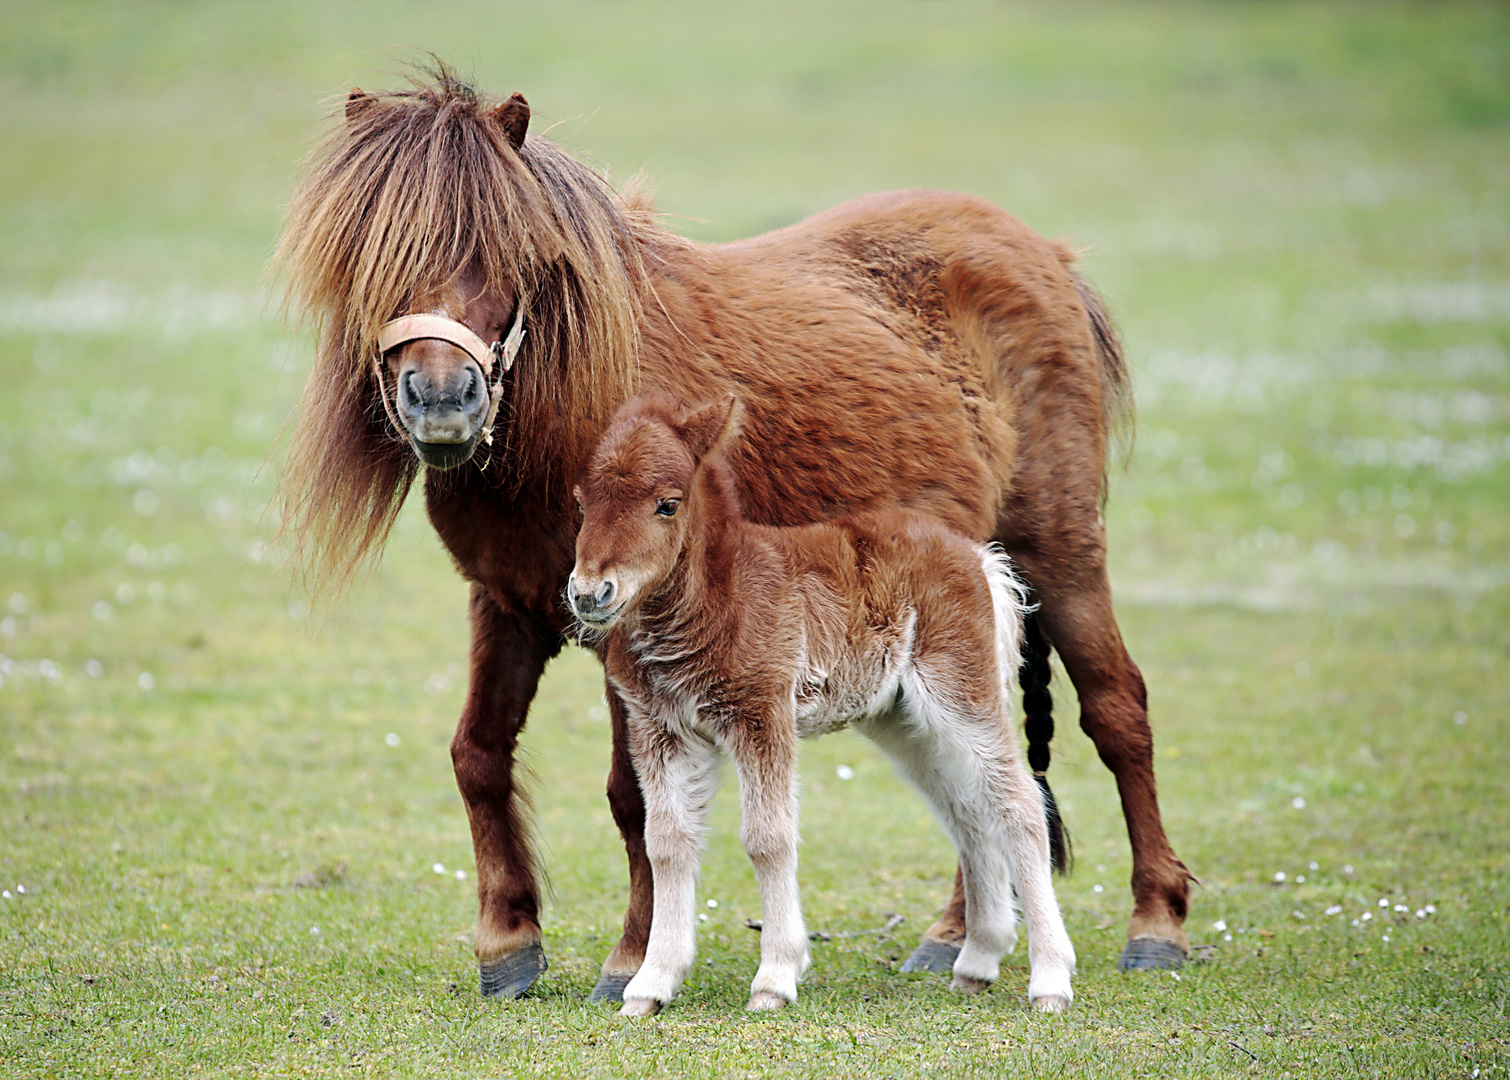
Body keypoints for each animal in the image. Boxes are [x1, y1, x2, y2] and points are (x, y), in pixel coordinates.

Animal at [567, 392, 1075, 1021]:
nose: (590, 595)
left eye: (667, 504)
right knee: (967, 812)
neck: (717, 598)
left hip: (961, 693)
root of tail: (979, 557)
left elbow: (767, 837)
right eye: (582, 502)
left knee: (1021, 805)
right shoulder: (660, 729)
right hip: (904, 722)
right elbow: (666, 844)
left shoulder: (761, 715)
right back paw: (978, 962)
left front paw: (775, 978)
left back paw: (1050, 979)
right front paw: (650, 984)